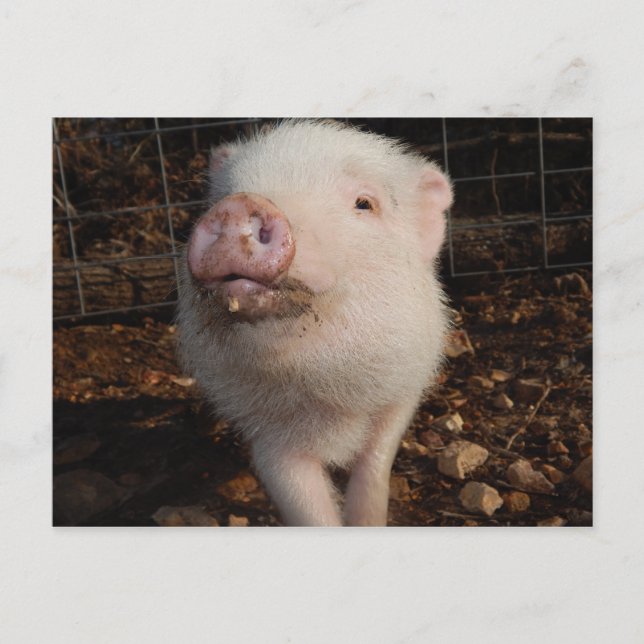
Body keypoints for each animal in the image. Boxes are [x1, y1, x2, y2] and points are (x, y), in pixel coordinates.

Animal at [177, 120, 452, 526]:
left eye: (364, 203)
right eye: (223, 196)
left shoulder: (404, 389)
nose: (239, 205)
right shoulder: (264, 428)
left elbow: (375, 464)